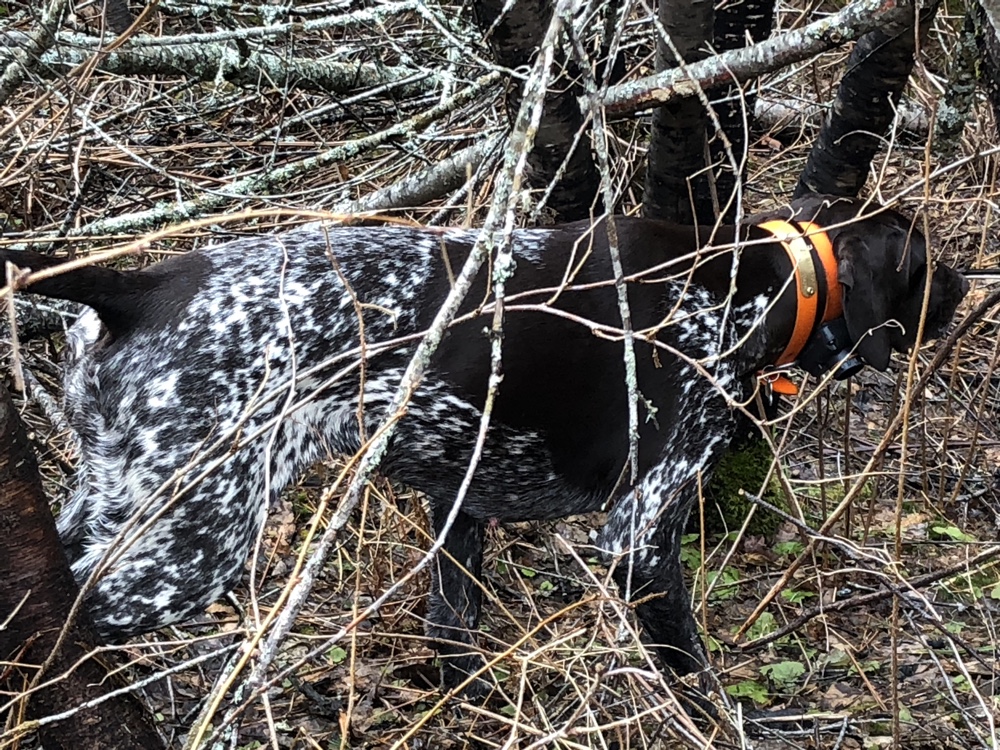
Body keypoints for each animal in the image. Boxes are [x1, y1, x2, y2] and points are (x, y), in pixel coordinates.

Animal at [0, 195, 968, 700]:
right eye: (932, 266)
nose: (967, 288)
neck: (753, 284)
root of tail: (137, 284)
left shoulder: (457, 500)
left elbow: (451, 630)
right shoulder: (640, 536)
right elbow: (691, 670)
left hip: (119, 495)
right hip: (193, 540)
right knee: (68, 623)